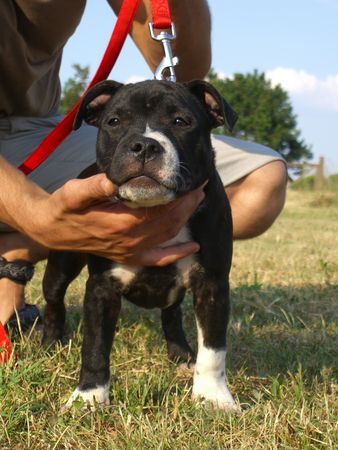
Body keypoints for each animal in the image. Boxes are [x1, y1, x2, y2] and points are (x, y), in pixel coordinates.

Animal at [42, 80, 239, 412]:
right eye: (114, 121)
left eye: (181, 121)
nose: (145, 146)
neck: (154, 210)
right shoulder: (102, 288)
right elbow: (94, 346)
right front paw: (89, 396)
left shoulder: (212, 284)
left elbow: (213, 349)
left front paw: (212, 396)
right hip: (61, 265)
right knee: (54, 300)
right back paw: (49, 343)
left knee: (171, 314)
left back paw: (181, 354)